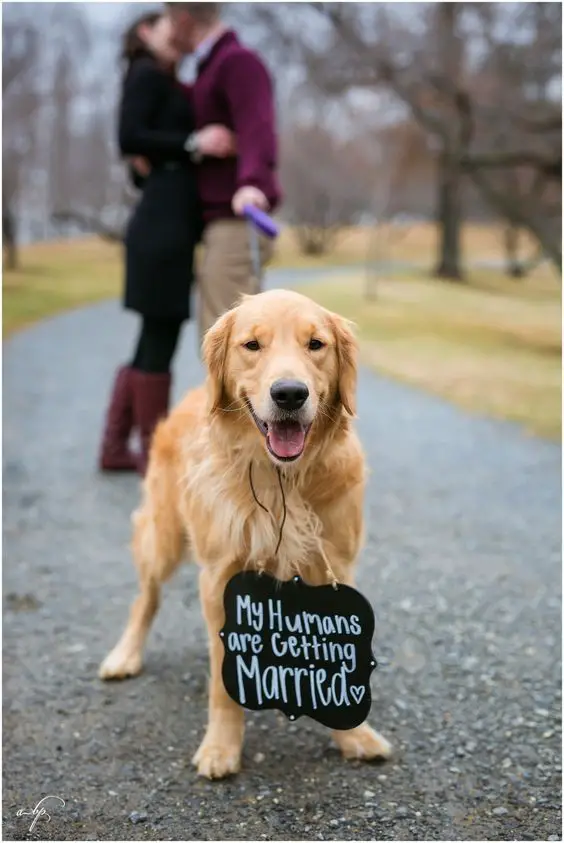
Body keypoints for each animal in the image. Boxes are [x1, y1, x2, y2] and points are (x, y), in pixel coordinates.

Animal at [99, 288, 390, 780]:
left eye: (316, 344)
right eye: (252, 345)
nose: (289, 393)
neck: (282, 481)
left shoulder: (335, 566)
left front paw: (354, 735)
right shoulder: (220, 575)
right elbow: (222, 681)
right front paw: (221, 747)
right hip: (164, 536)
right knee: (147, 597)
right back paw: (124, 656)